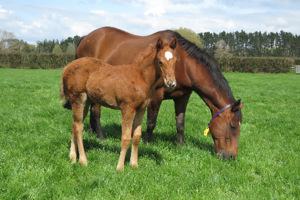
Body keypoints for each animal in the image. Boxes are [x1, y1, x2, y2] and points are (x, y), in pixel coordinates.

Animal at [60, 38, 177, 171]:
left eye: (175, 61)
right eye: (160, 62)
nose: (171, 83)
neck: (140, 77)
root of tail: (67, 67)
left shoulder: (141, 109)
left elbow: (136, 136)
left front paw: (134, 165)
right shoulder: (127, 108)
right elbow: (126, 138)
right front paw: (120, 168)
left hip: (86, 102)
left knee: (75, 124)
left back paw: (72, 158)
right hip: (78, 99)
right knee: (79, 127)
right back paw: (83, 161)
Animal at [76, 27, 243, 161]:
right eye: (233, 126)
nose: (231, 157)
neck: (184, 64)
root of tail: (85, 38)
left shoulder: (183, 97)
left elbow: (180, 123)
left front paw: (180, 145)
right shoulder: (156, 96)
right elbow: (151, 122)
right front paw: (146, 143)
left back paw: (91, 132)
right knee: (96, 111)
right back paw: (100, 137)